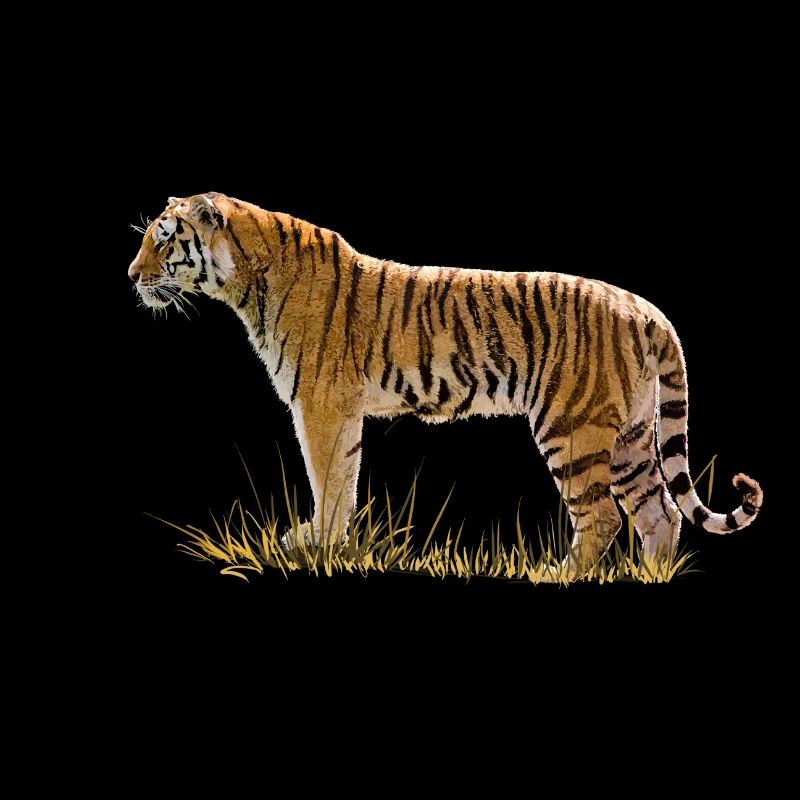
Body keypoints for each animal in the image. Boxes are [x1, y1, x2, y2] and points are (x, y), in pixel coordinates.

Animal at [128, 192, 762, 579]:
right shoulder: (341, 411)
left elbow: (327, 481)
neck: (244, 282)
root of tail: (646, 310)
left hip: (572, 428)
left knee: (605, 515)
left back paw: (556, 576)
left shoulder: (320, 405)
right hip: (630, 434)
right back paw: (650, 578)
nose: (131, 276)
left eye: (164, 240)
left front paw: (319, 546)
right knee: (661, 513)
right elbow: (343, 482)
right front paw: (327, 544)